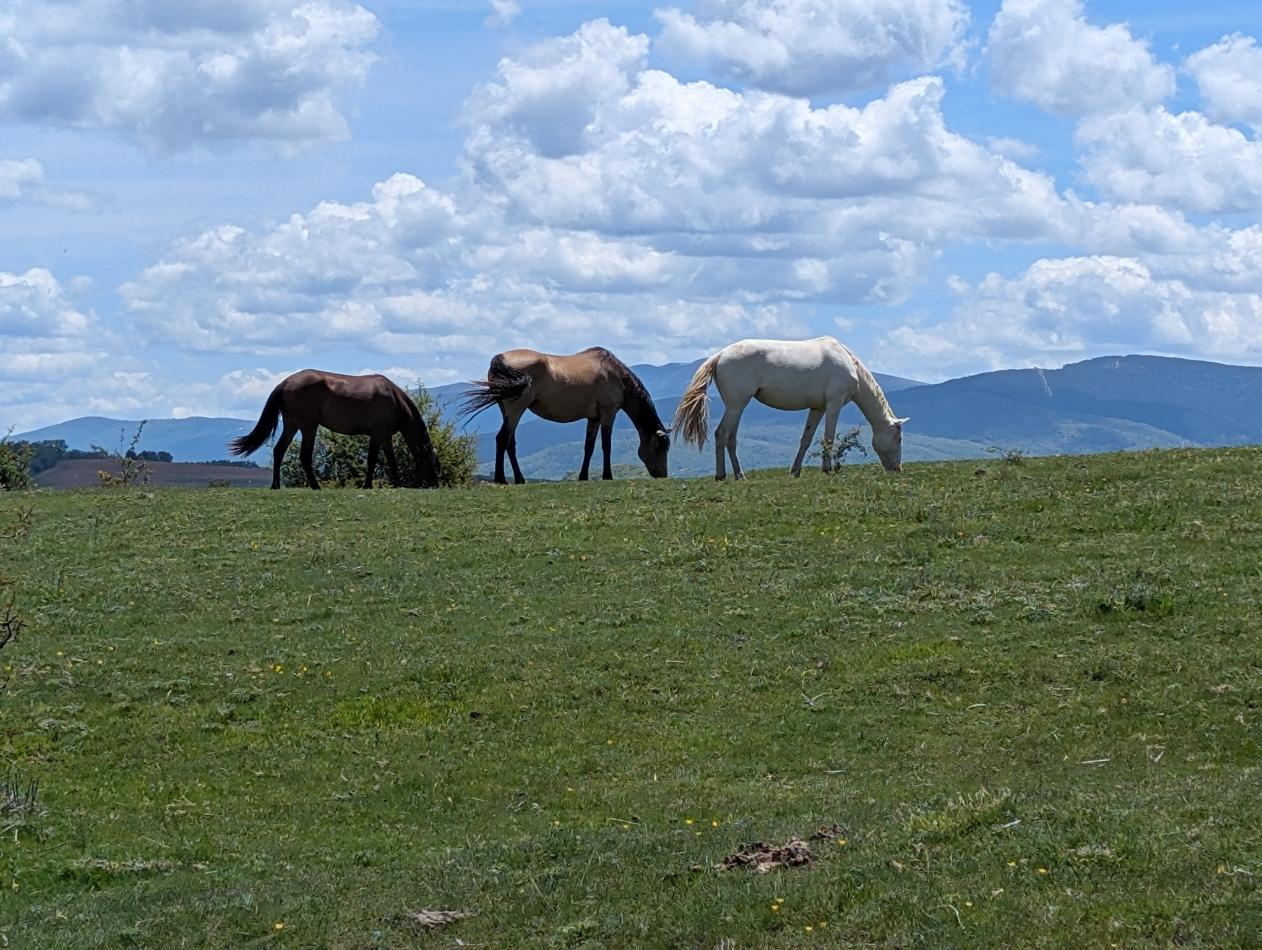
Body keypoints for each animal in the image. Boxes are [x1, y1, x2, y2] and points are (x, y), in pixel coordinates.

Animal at [227, 370, 441, 490]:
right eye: (432, 464)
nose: (434, 484)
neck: (394, 399)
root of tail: (285, 382)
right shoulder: (379, 434)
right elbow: (377, 460)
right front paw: (373, 485)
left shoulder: (382, 437)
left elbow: (386, 461)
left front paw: (391, 483)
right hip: (308, 427)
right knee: (305, 456)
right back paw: (315, 486)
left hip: (292, 425)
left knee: (279, 451)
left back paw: (276, 485)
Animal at [460, 347, 671, 484]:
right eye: (659, 448)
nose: (663, 475)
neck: (616, 375)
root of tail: (500, 359)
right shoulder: (608, 413)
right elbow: (606, 446)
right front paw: (607, 475)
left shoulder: (594, 418)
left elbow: (589, 447)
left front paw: (583, 477)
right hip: (516, 408)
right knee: (502, 439)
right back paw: (501, 479)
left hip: (505, 409)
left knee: (510, 443)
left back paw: (519, 479)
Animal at [672, 337, 908, 480]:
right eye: (898, 438)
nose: (897, 468)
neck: (849, 364)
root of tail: (720, 355)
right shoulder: (834, 404)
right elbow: (829, 437)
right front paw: (827, 469)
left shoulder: (817, 408)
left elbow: (807, 439)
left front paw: (795, 471)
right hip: (736, 405)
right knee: (722, 434)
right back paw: (725, 475)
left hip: (737, 407)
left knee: (730, 437)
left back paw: (738, 474)